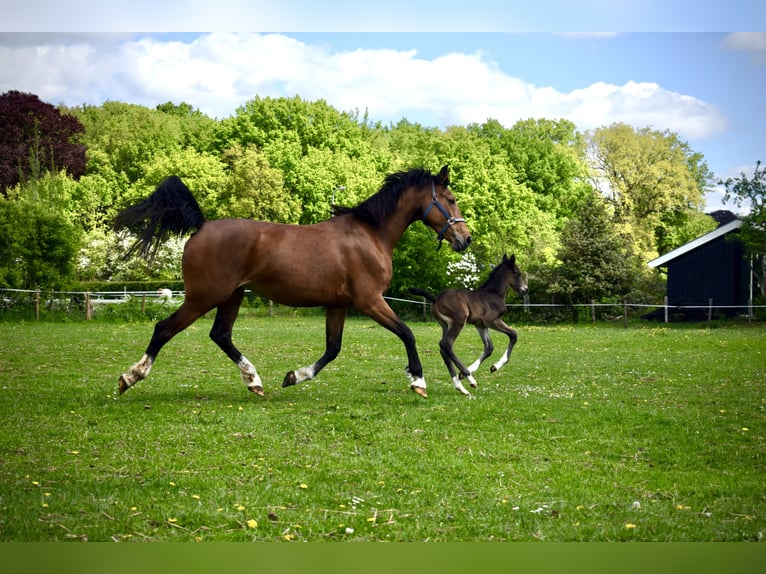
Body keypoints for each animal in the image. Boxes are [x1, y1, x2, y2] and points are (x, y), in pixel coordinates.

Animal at [114, 165, 471, 399]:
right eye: (451, 198)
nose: (465, 239)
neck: (371, 234)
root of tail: (201, 225)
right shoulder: (370, 300)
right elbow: (407, 334)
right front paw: (418, 381)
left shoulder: (338, 304)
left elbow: (332, 349)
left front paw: (294, 376)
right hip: (203, 297)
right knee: (164, 329)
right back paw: (130, 377)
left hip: (232, 296)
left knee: (221, 335)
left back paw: (254, 380)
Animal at [409, 253, 527, 396]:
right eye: (517, 273)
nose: (525, 290)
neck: (494, 294)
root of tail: (435, 298)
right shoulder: (492, 321)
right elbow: (513, 334)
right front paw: (495, 366)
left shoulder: (481, 325)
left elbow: (489, 348)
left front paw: (468, 372)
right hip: (459, 321)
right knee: (446, 344)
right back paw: (470, 379)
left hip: (445, 325)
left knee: (443, 349)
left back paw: (460, 386)